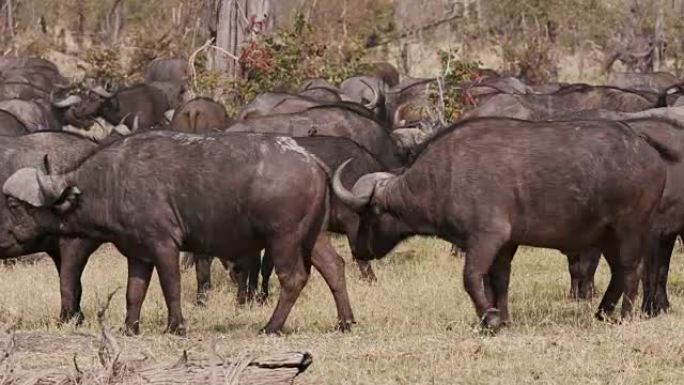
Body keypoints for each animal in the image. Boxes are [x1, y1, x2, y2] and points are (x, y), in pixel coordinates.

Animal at [5, 130, 356, 334]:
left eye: (13, 205)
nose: (10, 236)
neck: (110, 181)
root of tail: (312, 161)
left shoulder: (164, 244)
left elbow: (170, 285)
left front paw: (176, 326)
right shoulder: (138, 253)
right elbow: (134, 292)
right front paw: (129, 328)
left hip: (283, 239)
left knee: (293, 278)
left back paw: (271, 326)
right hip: (313, 236)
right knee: (335, 267)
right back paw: (346, 321)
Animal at [332, 117, 672, 330]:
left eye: (367, 213)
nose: (358, 250)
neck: (444, 176)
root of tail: (644, 146)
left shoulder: (486, 237)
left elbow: (471, 277)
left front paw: (490, 319)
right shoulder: (506, 244)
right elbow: (499, 280)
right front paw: (503, 317)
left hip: (629, 230)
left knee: (631, 270)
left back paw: (624, 316)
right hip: (607, 236)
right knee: (618, 273)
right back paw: (602, 312)